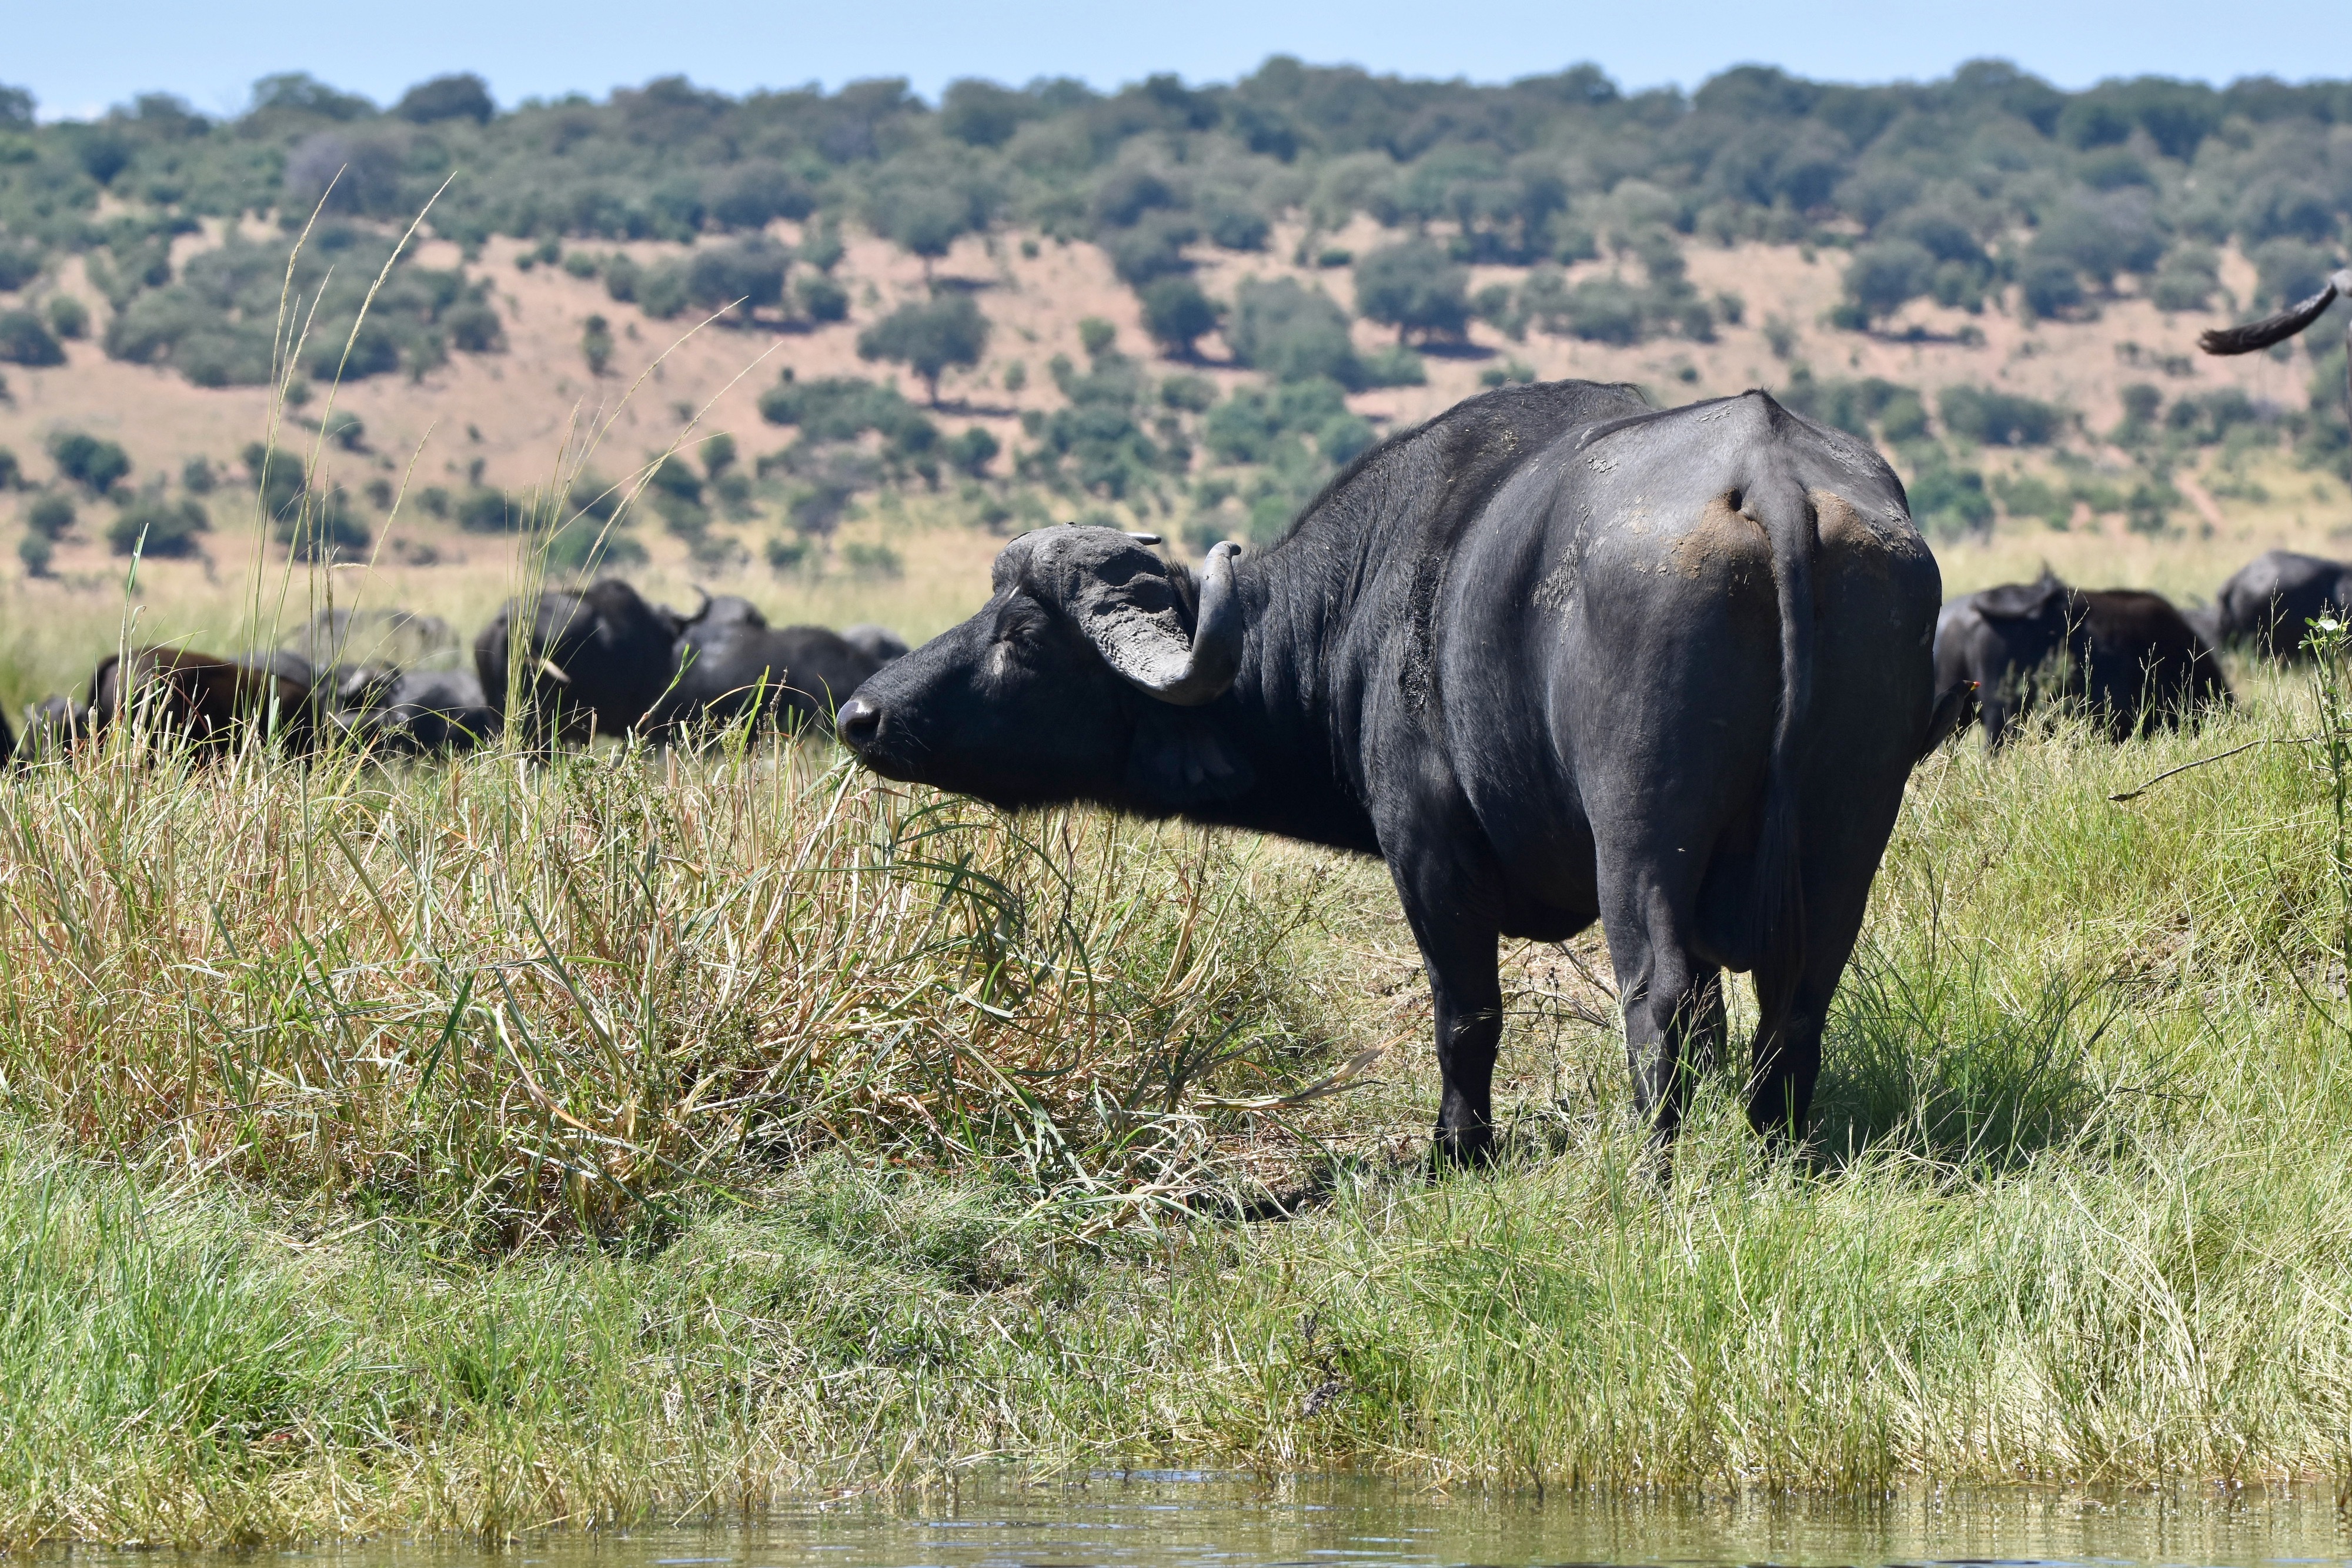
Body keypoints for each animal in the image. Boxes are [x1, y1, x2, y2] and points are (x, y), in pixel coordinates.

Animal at [842, 385, 1947, 1161]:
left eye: (1024, 636)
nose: (862, 713)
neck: (1364, 602)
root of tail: (1769, 475)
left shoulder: (1428, 855)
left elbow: (1467, 1013)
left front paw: (1457, 1149)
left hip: (1639, 838)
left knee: (1660, 994)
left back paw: (1655, 1173)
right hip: (1846, 835)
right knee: (1796, 996)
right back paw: (1778, 1153)